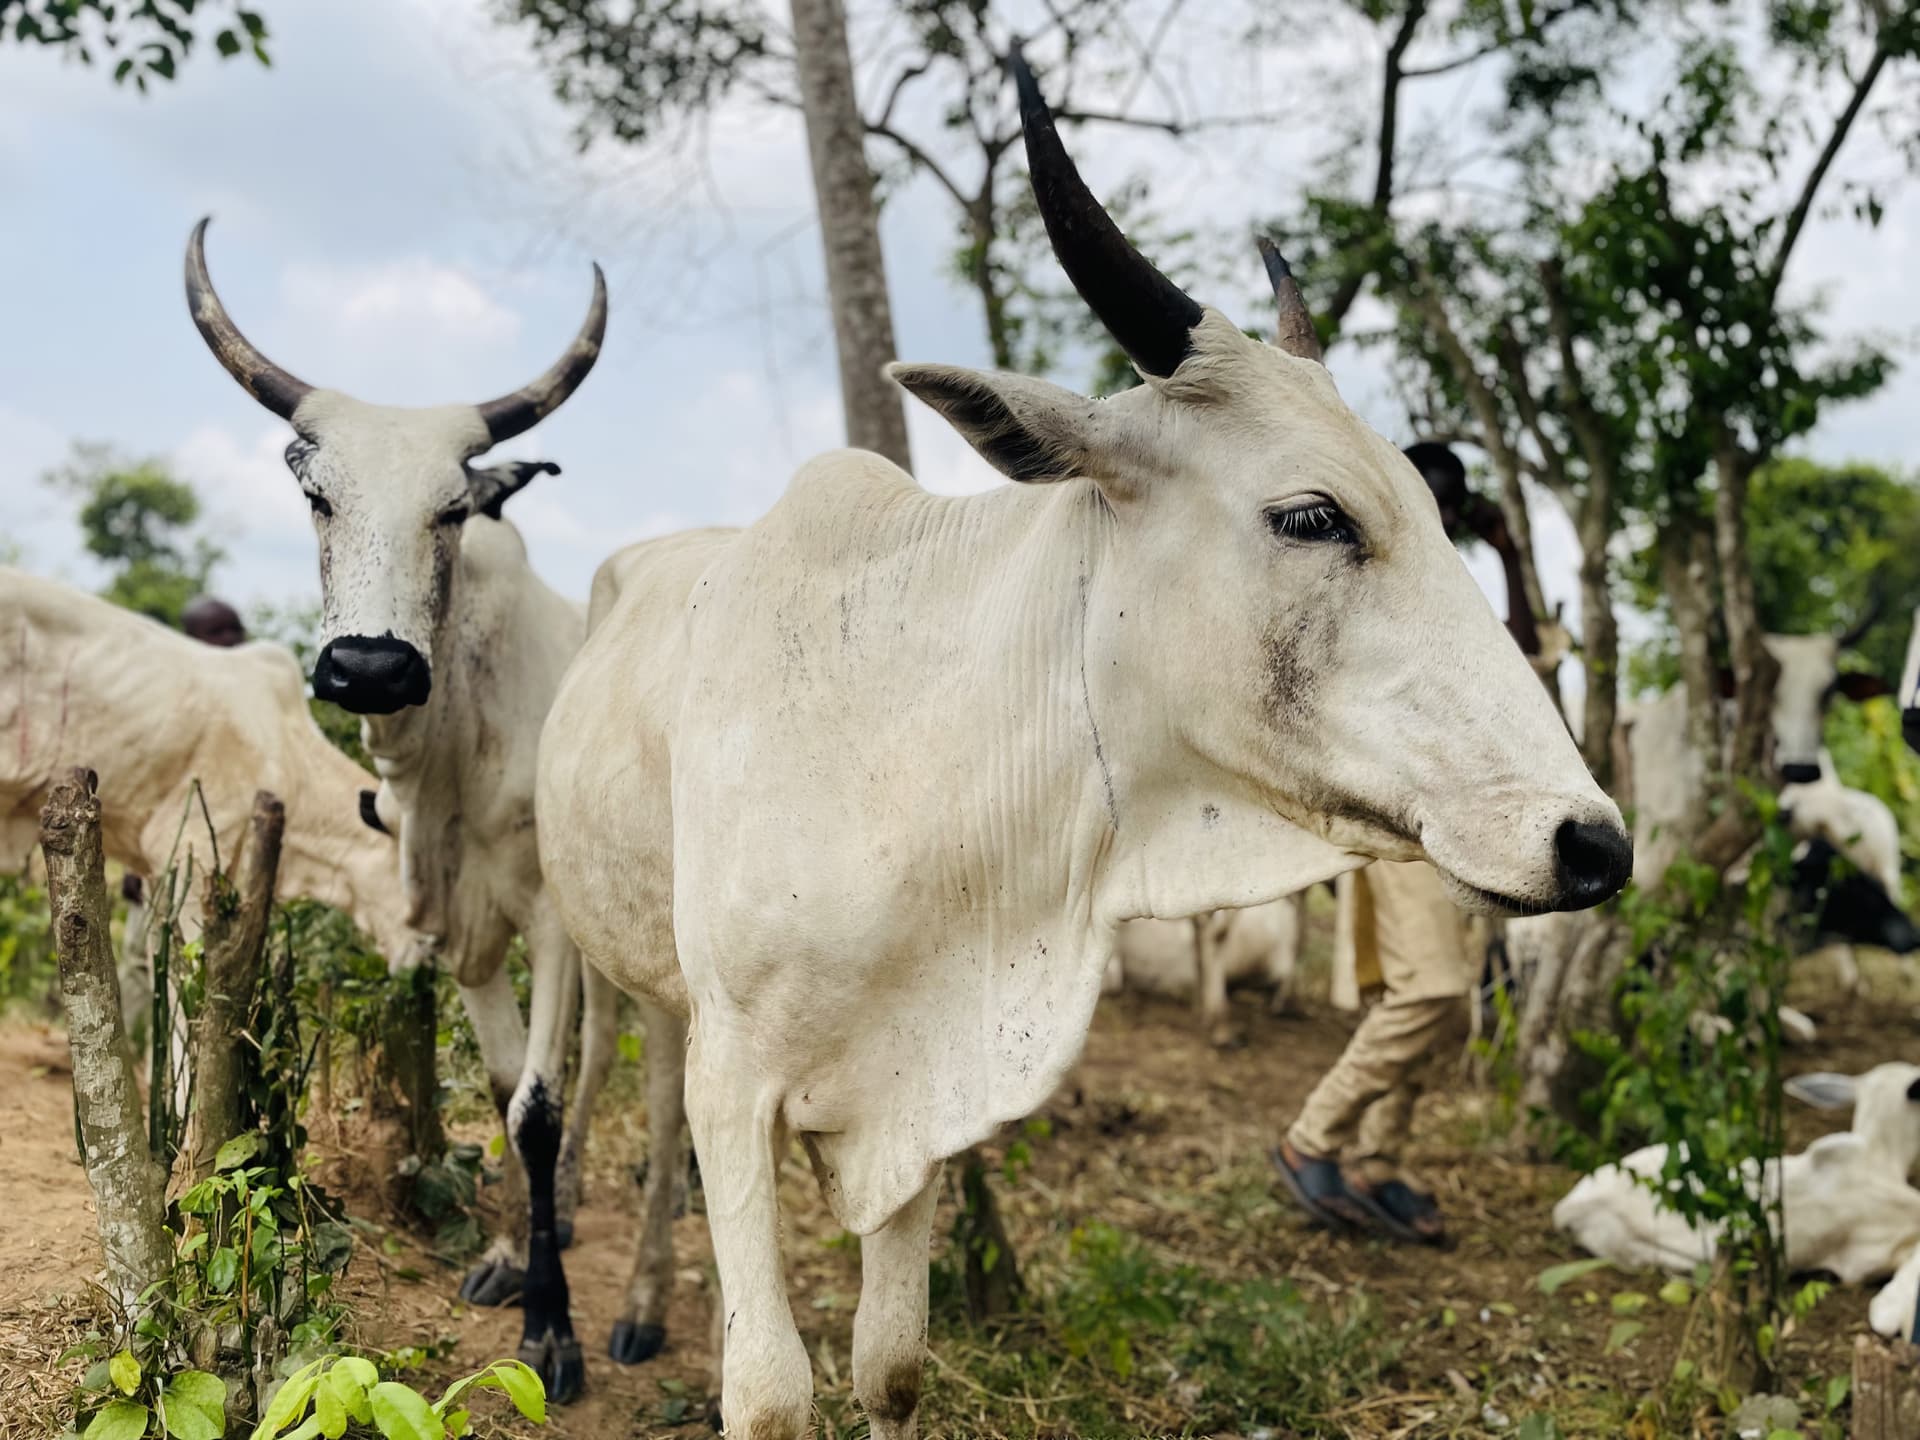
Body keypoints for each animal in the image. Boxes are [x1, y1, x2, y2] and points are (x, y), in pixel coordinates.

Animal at [182, 222, 644, 1389]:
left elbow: (537, 1105)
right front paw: (512, 1257)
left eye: (453, 508)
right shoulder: (465, 939)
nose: (371, 669)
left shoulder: (549, 922)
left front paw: (552, 1324)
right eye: (319, 498)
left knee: (601, 1059)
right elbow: (502, 1088)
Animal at [533, 57, 1630, 1437]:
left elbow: (890, 1364)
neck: (912, 759)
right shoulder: (740, 1084)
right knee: (566, 1087)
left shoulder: (916, 1101)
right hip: (565, 927)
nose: (1591, 843)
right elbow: (772, 1393)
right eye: (1312, 516)